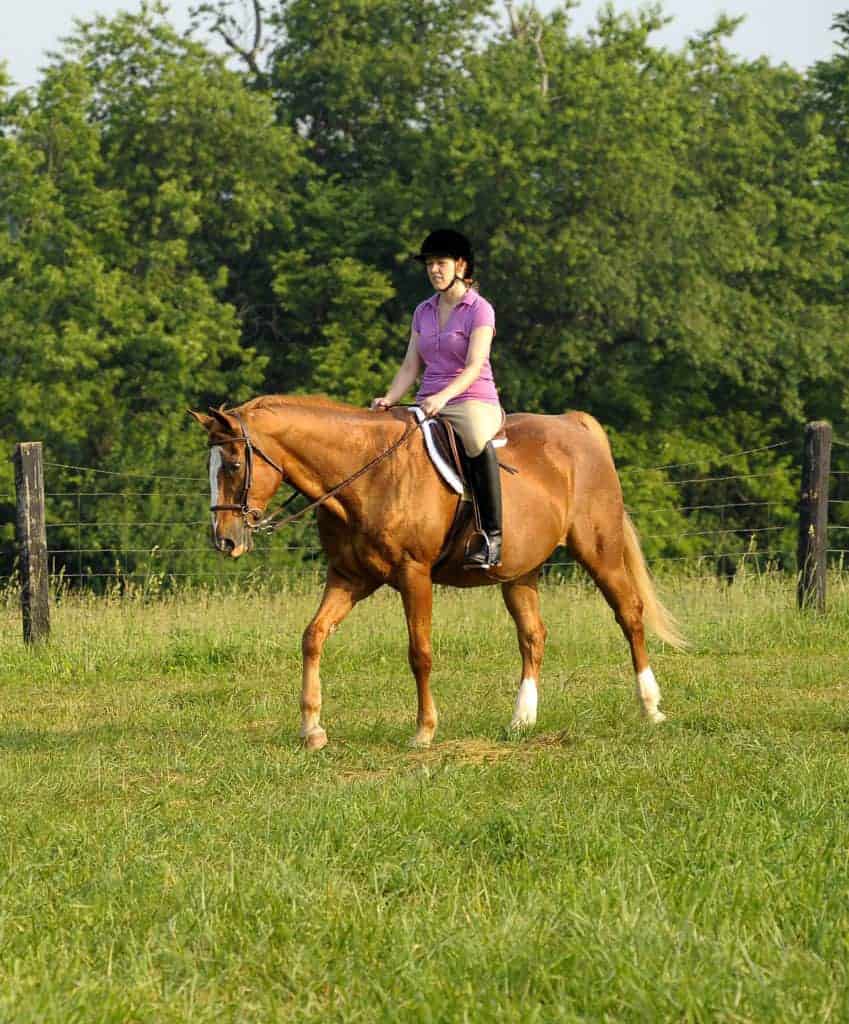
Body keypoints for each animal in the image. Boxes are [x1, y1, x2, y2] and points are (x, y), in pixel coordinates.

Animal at [190, 395, 684, 750]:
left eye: (233, 464)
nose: (225, 541)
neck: (366, 473)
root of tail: (575, 425)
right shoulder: (349, 577)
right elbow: (313, 636)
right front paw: (312, 730)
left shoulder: (414, 575)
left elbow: (419, 652)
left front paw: (424, 731)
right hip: (518, 572)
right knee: (533, 635)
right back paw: (521, 720)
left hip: (599, 551)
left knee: (629, 614)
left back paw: (651, 707)